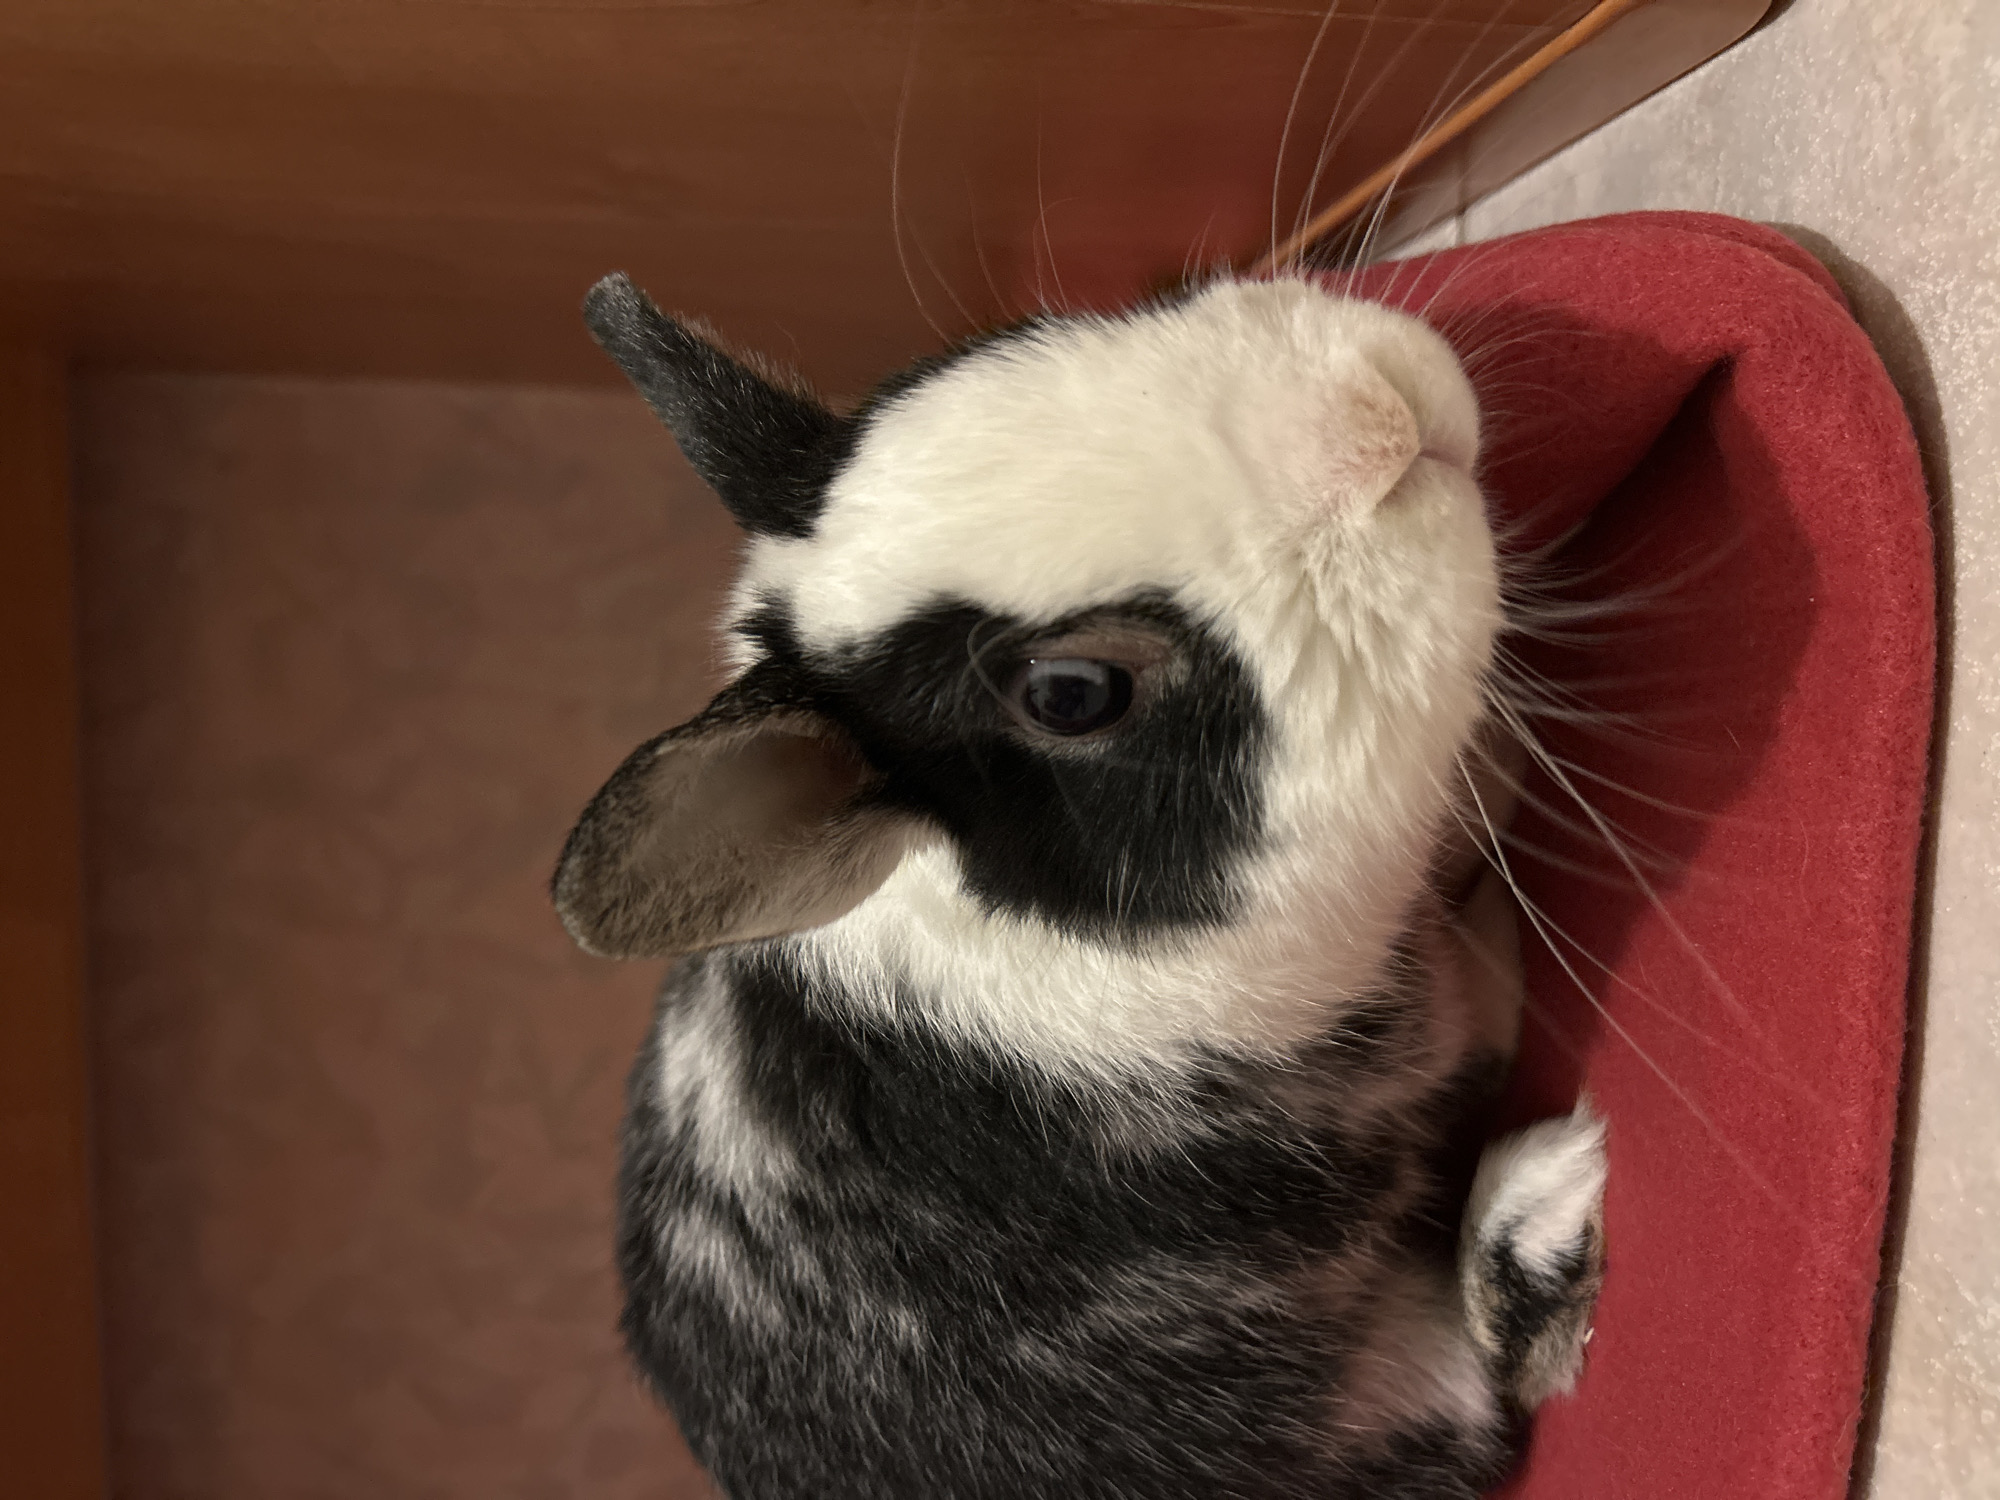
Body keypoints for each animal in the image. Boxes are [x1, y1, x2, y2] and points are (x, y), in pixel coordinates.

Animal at [552, 270, 1608, 1500]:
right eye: (1071, 694)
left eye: (1018, 342)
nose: (1381, 417)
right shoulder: (1412, 1039)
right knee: (1494, 1382)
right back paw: (1543, 1203)